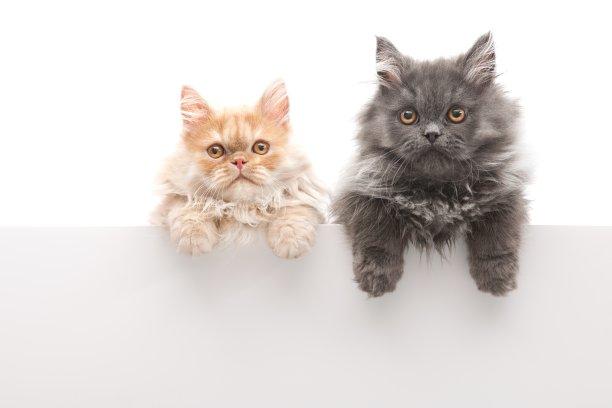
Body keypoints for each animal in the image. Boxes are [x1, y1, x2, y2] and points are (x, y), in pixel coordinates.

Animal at [152, 80, 327, 259]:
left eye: (261, 148)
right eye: (215, 151)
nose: (239, 161)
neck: (241, 210)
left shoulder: (301, 194)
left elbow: (294, 210)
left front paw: (292, 242)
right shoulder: (170, 203)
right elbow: (187, 208)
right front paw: (194, 240)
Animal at [332, 33, 528, 297]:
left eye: (456, 113)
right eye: (408, 116)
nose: (432, 134)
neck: (437, 191)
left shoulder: (505, 194)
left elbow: (497, 234)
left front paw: (496, 277)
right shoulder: (359, 192)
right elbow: (375, 230)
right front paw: (377, 277)